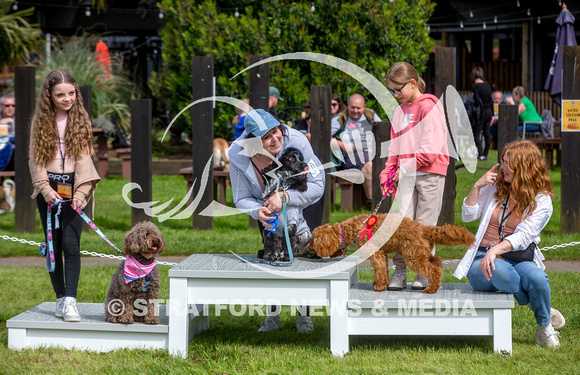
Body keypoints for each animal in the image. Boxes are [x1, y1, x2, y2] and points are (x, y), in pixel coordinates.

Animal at [306, 213, 474, 296]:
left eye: (313, 240)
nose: (307, 246)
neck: (356, 228)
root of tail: (424, 228)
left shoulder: (376, 253)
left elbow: (379, 269)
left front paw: (379, 286)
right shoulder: (383, 254)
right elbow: (384, 270)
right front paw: (381, 283)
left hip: (413, 256)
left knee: (434, 270)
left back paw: (431, 289)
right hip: (421, 252)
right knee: (437, 262)